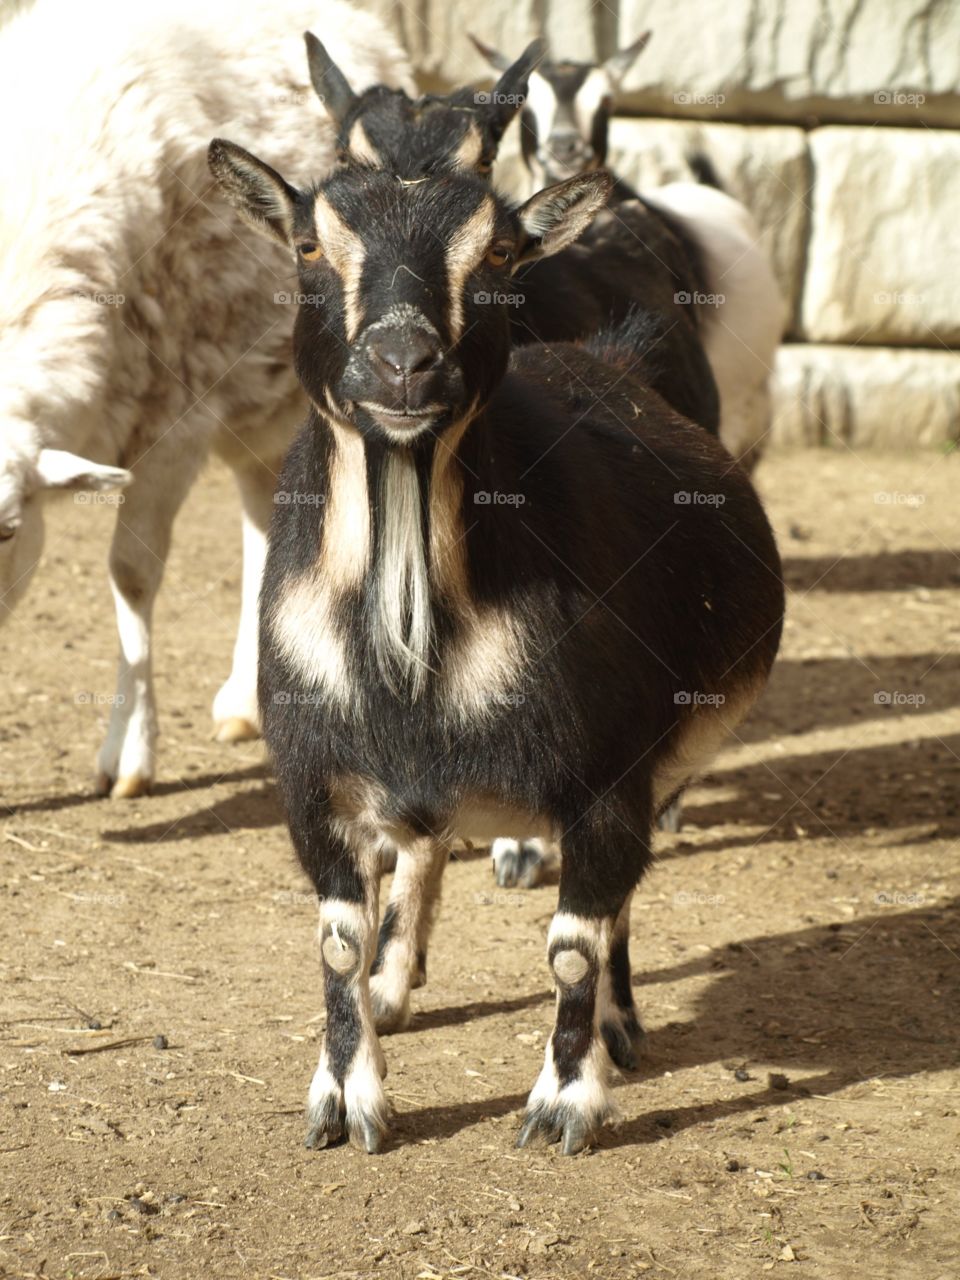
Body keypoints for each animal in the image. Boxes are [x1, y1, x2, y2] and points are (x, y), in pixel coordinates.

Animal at [208, 138, 785, 1155]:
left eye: (500, 254)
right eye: (308, 244)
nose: (402, 362)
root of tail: (611, 353)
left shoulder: (607, 781)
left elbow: (575, 947)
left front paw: (566, 1101)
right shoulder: (312, 779)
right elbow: (337, 940)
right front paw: (345, 1098)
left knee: (614, 901)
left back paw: (619, 1026)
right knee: (423, 849)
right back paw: (396, 981)